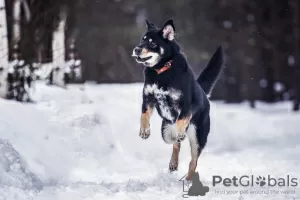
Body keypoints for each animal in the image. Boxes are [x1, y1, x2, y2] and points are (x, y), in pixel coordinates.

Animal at [132, 19, 224, 180]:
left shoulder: (186, 104)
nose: (136, 49)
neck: (162, 70)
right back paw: (173, 163)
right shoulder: (148, 99)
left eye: (152, 43)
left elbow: (182, 119)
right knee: (176, 144)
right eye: (142, 40)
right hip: (165, 132)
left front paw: (180, 131)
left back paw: (189, 179)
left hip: (198, 137)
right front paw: (144, 131)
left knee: (193, 160)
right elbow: (143, 115)